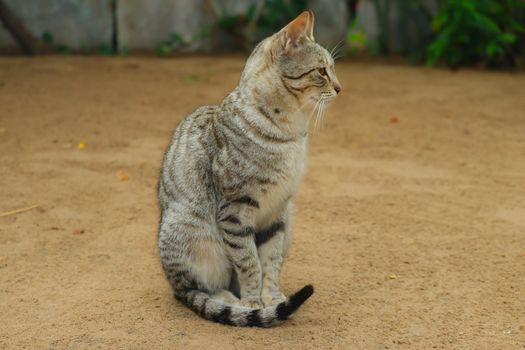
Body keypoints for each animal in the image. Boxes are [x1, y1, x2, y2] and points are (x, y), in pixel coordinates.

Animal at [158, 10, 342, 328]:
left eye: (331, 69)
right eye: (322, 71)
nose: (340, 87)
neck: (290, 136)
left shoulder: (278, 212)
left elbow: (271, 261)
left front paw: (273, 298)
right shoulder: (234, 212)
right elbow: (249, 263)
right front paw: (254, 302)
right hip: (191, 233)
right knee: (196, 289)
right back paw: (230, 301)